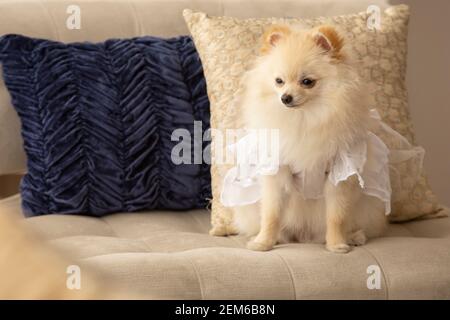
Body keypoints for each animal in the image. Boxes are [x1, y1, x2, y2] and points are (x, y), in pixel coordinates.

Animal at [227, 25, 388, 252]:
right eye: (279, 81)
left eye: (307, 82)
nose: (285, 97)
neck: (304, 118)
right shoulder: (278, 171)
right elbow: (271, 214)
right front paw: (263, 242)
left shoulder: (339, 174)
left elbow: (337, 217)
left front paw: (337, 245)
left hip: (366, 208)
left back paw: (354, 236)